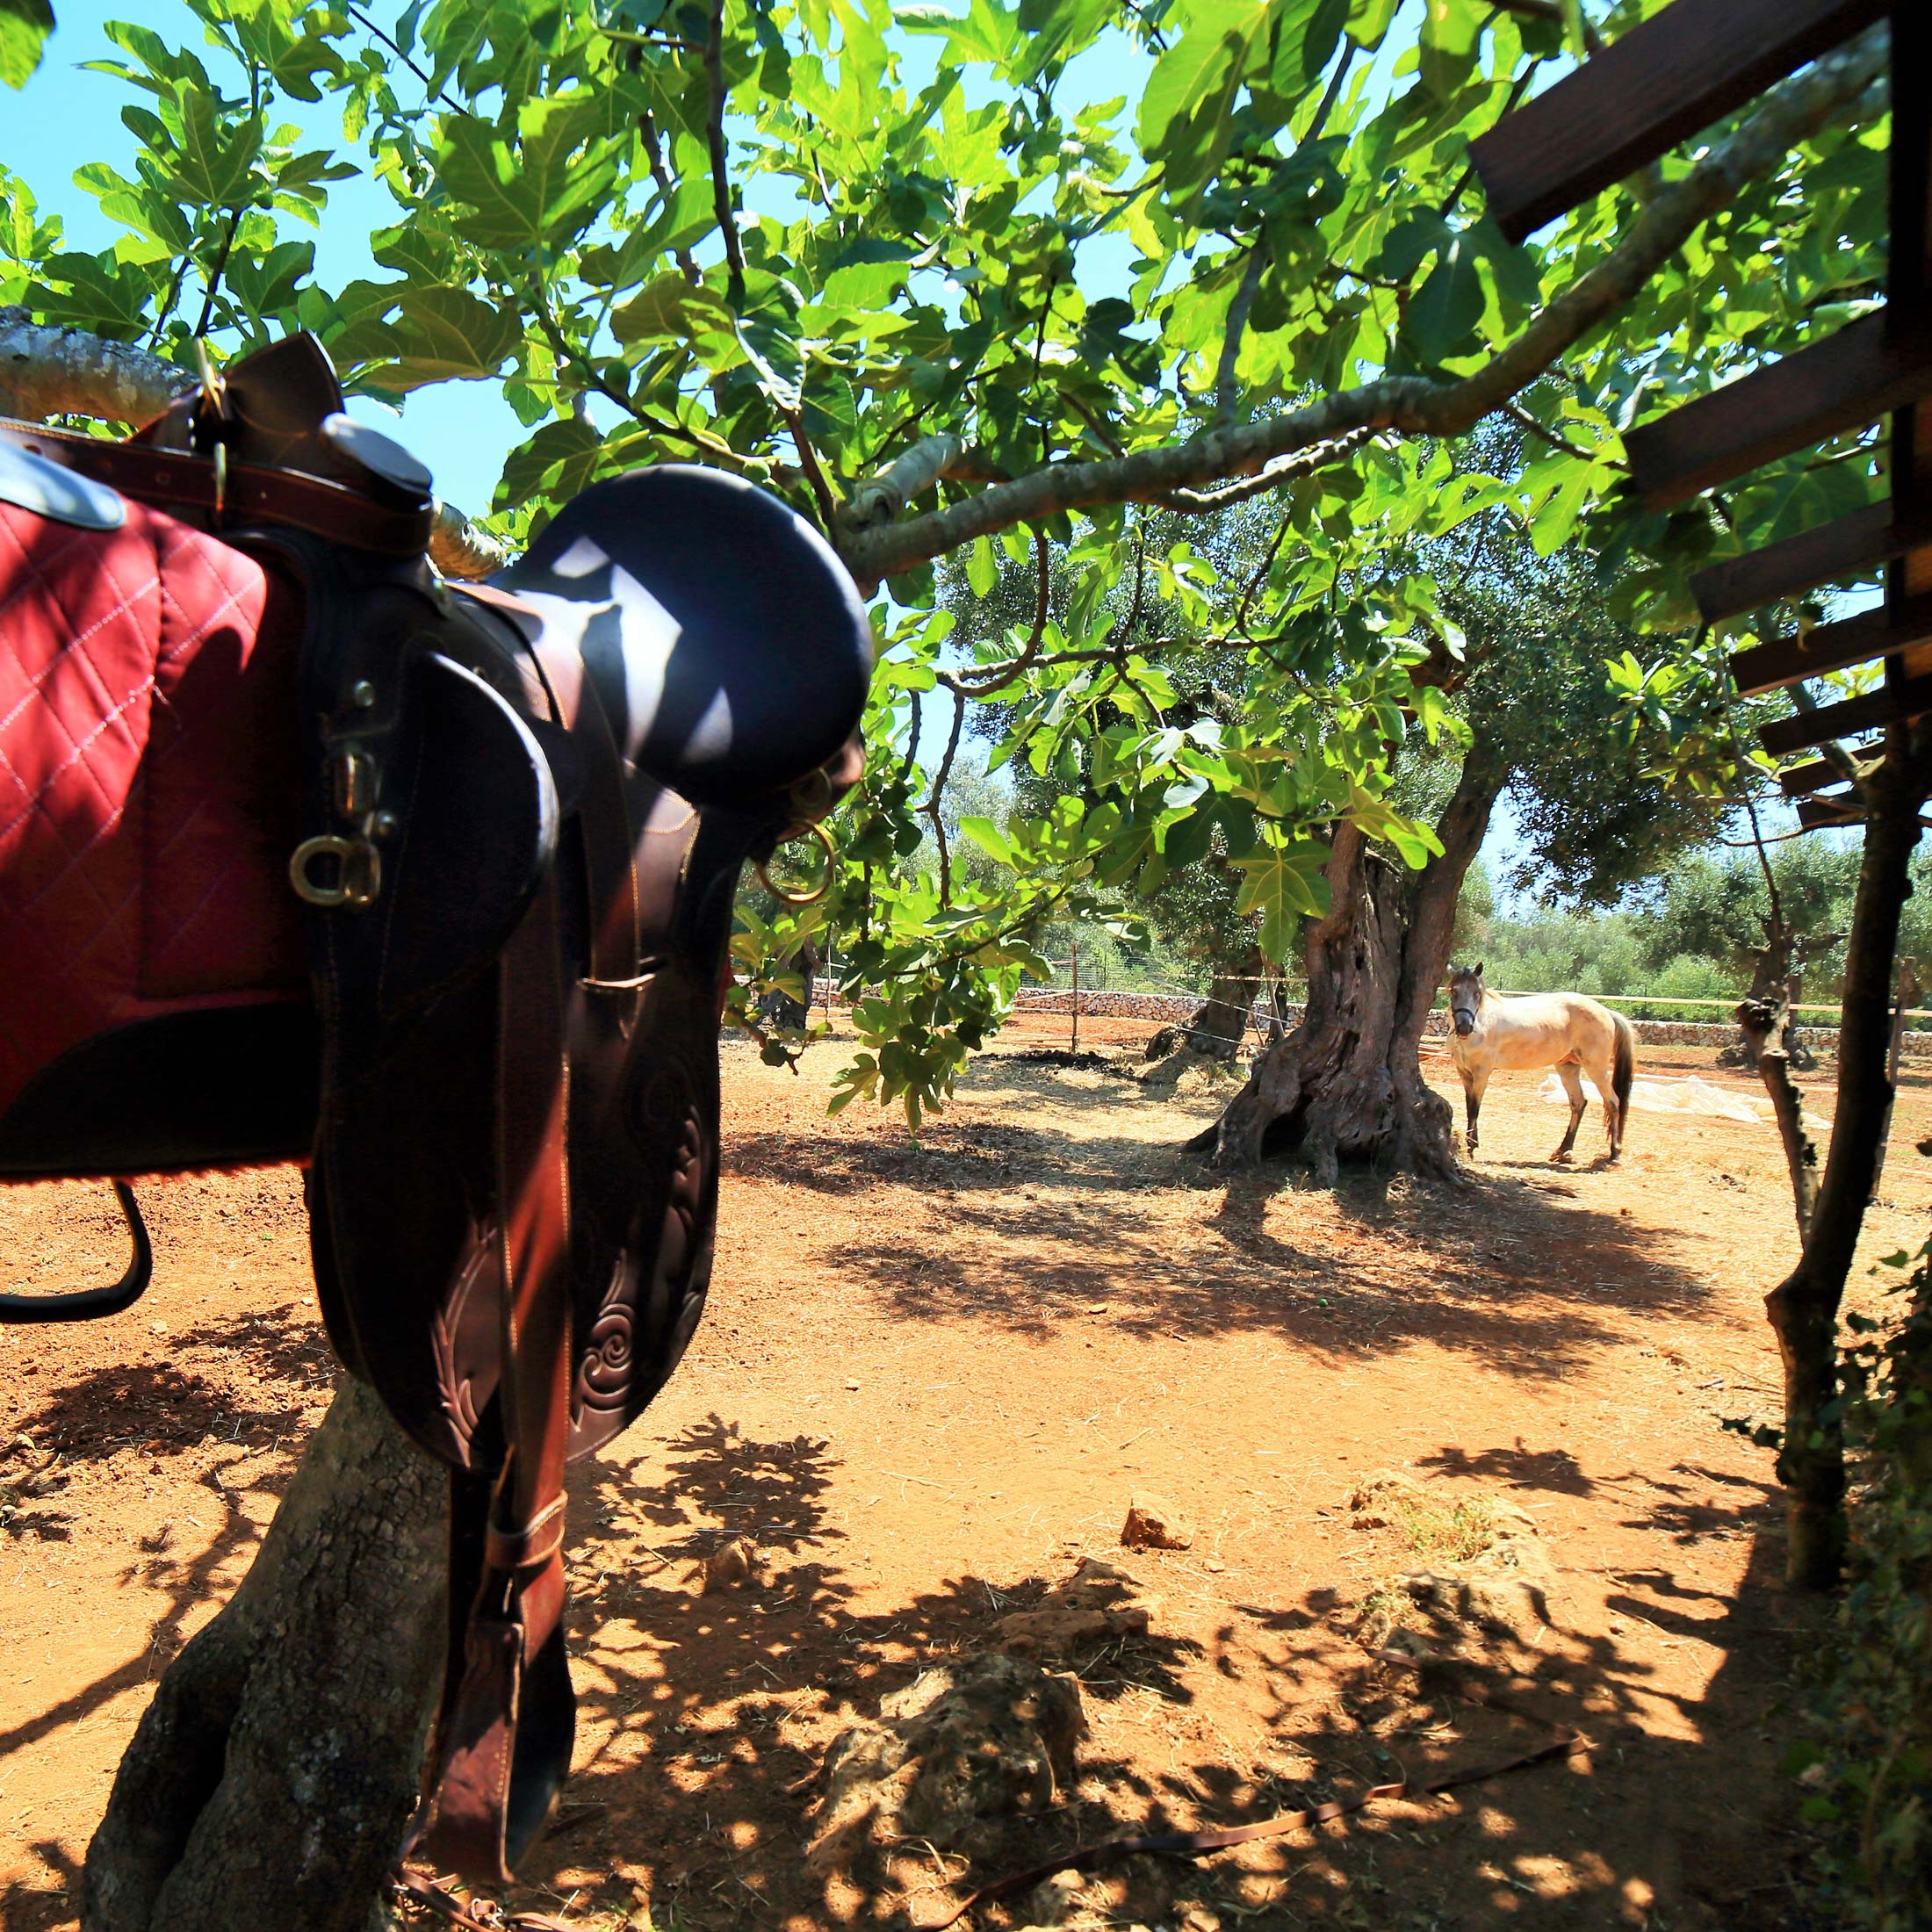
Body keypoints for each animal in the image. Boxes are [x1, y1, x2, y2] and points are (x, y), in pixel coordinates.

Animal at [1445, 966, 1638, 1159]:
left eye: (1477, 993)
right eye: (1454, 991)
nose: (1464, 1027)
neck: (1482, 1022)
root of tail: (1606, 1012)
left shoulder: (1482, 1073)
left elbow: (1474, 1108)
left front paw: (1472, 1147)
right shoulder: (1465, 1073)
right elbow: (1469, 1106)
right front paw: (1471, 1144)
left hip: (1596, 1067)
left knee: (1613, 1102)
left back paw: (1614, 1151)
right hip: (1568, 1067)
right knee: (1578, 1103)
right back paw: (1563, 1150)